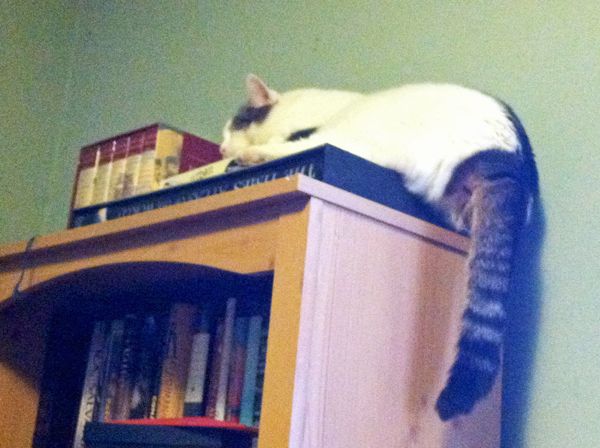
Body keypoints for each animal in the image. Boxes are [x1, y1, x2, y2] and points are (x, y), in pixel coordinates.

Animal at [219, 73, 540, 420]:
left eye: (233, 126)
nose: (221, 147)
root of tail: (508, 154)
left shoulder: (317, 133)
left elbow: (295, 143)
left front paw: (250, 153)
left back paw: (256, 156)